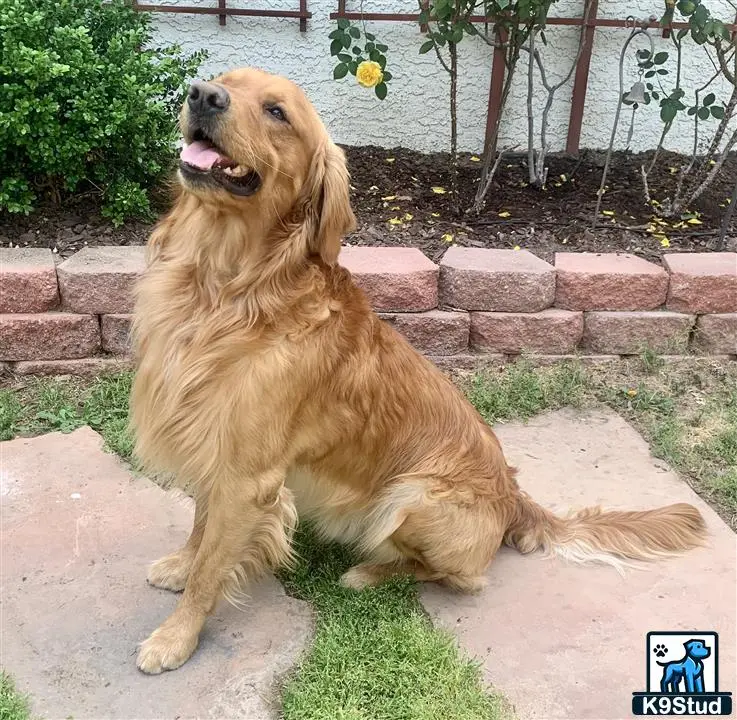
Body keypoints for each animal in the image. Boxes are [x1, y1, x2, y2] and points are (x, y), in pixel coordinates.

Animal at [131, 67, 708, 676]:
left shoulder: (249, 474)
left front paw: (176, 637)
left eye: (277, 112)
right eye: (223, 81)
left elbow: (212, 565)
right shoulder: (214, 446)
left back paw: (368, 573)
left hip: (413, 496)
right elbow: (201, 527)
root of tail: (514, 498)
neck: (228, 287)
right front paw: (179, 565)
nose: (201, 95)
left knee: (456, 577)